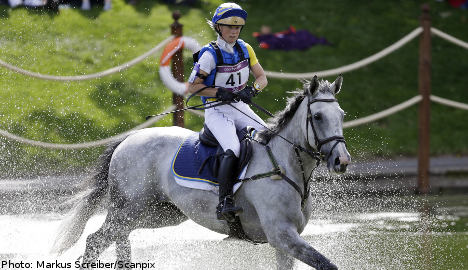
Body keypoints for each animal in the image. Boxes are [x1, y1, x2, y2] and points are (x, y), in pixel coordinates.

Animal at [52, 75, 352, 268]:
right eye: (317, 117)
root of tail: (129, 138)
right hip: (130, 208)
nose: (342, 160)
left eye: (342, 115)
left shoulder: (285, 243)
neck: (285, 164)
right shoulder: (282, 235)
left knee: (118, 239)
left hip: (156, 213)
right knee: (95, 240)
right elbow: (328, 265)